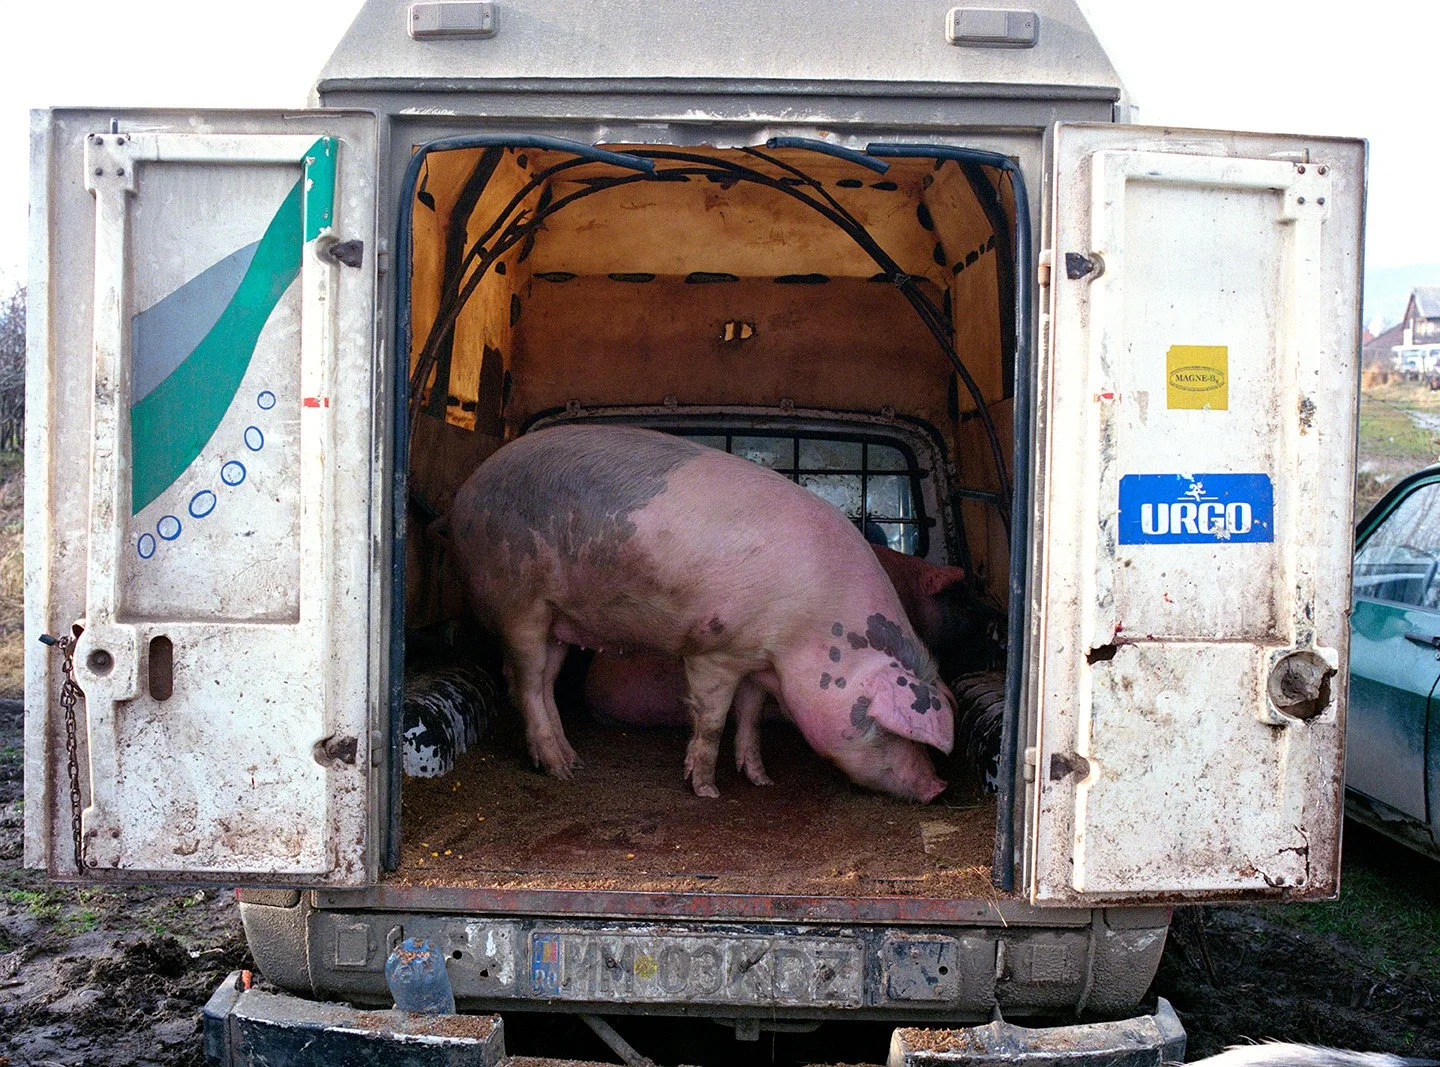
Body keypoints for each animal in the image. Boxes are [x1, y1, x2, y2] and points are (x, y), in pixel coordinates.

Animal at [446, 424, 955, 801]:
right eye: (891, 730)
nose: (938, 786)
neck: (814, 627)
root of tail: (466, 491)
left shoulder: (757, 662)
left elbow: (749, 717)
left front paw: (761, 779)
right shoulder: (715, 650)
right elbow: (711, 721)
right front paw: (708, 791)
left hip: (559, 621)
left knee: (546, 682)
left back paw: (573, 761)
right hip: (519, 604)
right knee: (527, 683)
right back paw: (559, 772)